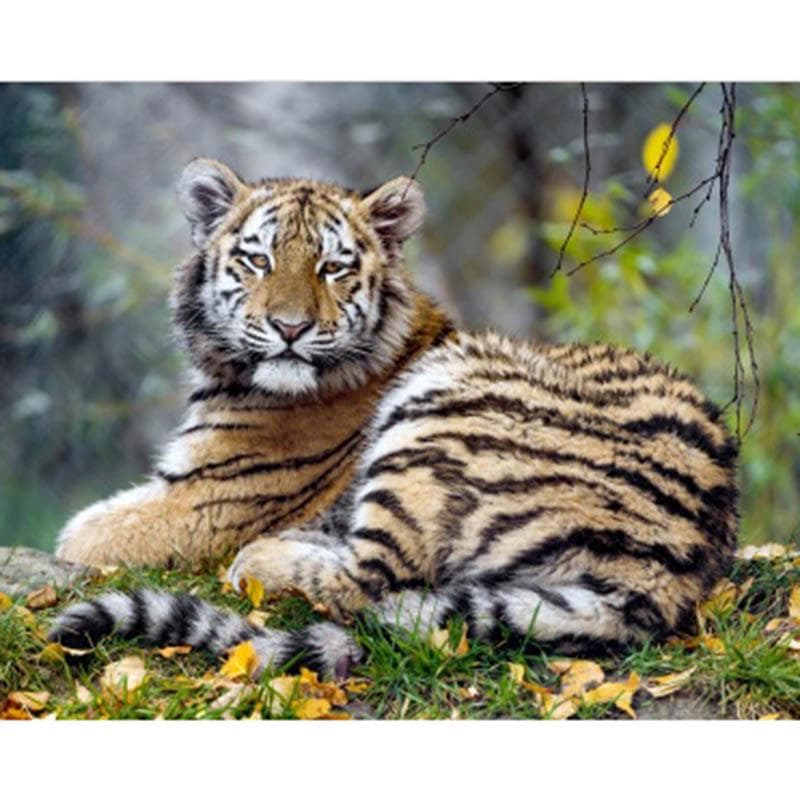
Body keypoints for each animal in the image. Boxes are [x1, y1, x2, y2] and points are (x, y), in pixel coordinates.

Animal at [49, 157, 738, 679]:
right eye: (259, 261)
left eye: (332, 267)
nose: (290, 328)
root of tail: (673, 571)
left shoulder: (207, 499)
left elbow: (81, 535)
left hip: (437, 406)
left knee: (368, 581)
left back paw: (262, 558)